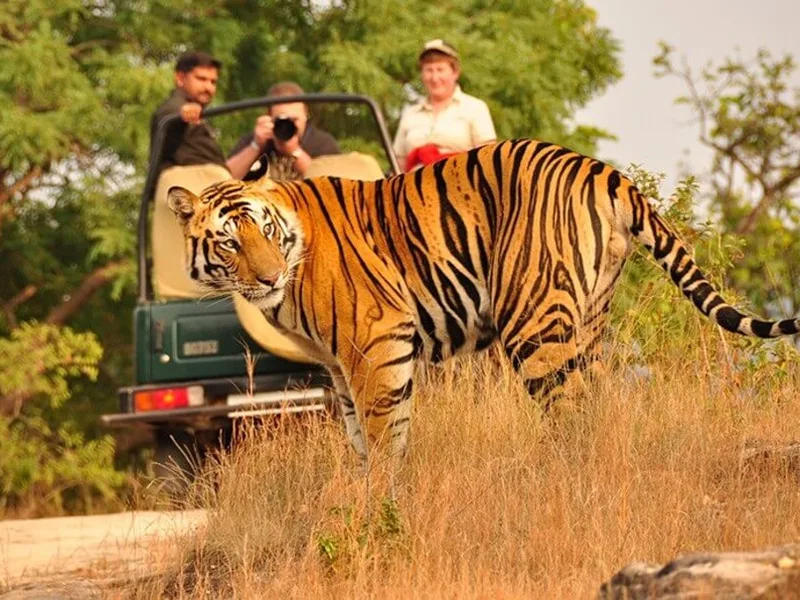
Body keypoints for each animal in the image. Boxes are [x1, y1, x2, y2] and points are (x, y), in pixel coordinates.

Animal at [167, 138, 800, 462]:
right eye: (229, 241)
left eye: (264, 230)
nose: (269, 277)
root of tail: (605, 170)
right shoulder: (341, 366)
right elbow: (363, 440)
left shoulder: (377, 342)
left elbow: (383, 436)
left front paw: (378, 510)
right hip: (589, 320)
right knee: (599, 405)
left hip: (533, 322)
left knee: (570, 414)